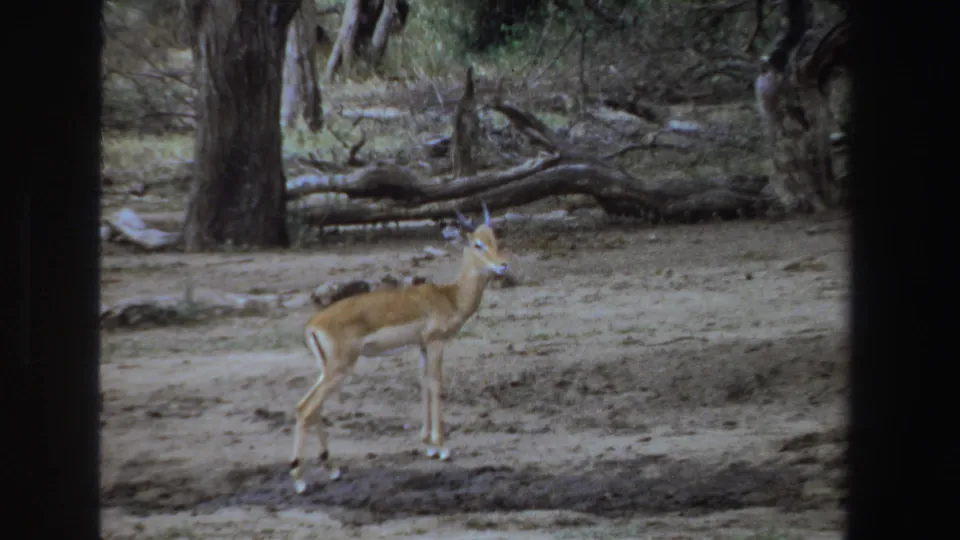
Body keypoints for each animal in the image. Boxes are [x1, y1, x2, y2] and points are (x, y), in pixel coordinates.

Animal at [289, 202, 510, 494]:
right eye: (477, 244)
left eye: (495, 239)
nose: (503, 265)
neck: (449, 296)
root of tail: (312, 325)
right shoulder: (436, 343)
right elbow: (436, 385)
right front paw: (443, 448)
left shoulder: (422, 346)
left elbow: (423, 384)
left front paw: (428, 444)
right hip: (339, 370)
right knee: (306, 408)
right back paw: (300, 479)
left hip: (328, 370)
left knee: (310, 408)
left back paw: (332, 468)